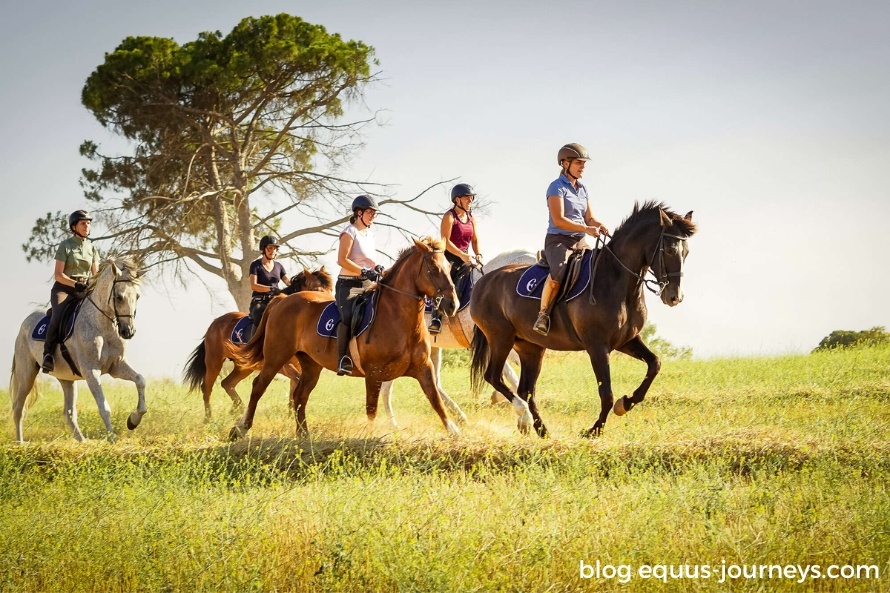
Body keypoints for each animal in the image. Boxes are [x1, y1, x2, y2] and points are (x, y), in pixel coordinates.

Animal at [11, 256, 147, 442]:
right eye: (119, 297)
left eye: (138, 296)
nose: (128, 332)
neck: (102, 326)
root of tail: (25, 322)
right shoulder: (91, 371)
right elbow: (104, 407)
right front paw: (112, 439)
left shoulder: (116, 366)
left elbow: (140, 380)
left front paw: (133, 421)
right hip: (27, 374)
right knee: (19, 407)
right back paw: (20, 443)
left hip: (66, 378)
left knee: (69, 413)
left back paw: (82, 441)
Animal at [181, 266, 332, 418]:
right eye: (317, 289)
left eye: (330, 289)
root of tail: (214, 324)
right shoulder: (280, 364)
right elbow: (296, 380)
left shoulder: (299, 366)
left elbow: (293, 388)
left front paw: (290, 416)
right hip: (214, 361)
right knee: (207, 387)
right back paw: (209, 418)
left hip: (244, 366)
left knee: (227, 383)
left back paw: (238, 408)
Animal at [227, 237, 458, 440]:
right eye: (433, 269)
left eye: (449, 267)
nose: (452, 304)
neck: (397, 318)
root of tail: (281, 300)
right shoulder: (374, 373)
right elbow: (371, 409)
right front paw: (371, 437)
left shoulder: (423, 367)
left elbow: (435, 399)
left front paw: (454, 430)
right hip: (276, 356)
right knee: (259, 386)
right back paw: (241, 429)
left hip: (311, 365)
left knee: (300, 394)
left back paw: (303, 434)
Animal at [468, 201, 696, 438]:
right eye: (669, 250)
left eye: (686, 252)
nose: (674, 297)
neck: (616, 280)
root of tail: (483, 282)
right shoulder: (597, 346)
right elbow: (607, 394)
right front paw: (594, 430)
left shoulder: (626, 341)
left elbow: (655, 364)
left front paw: (625, 404)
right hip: (500, 339)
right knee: (494, 377)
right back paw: (525, 416)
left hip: (531, 347)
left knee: (526, 390)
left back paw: (543, 431)